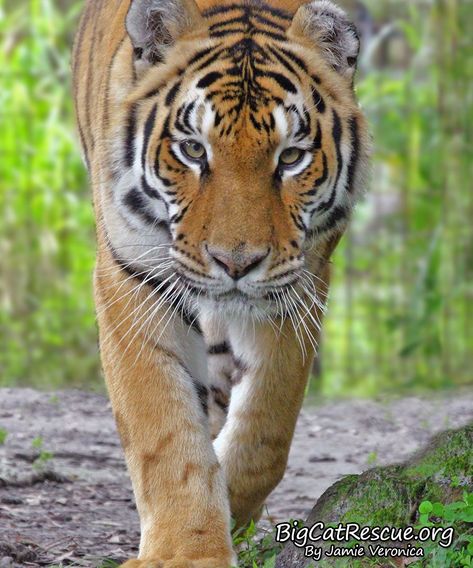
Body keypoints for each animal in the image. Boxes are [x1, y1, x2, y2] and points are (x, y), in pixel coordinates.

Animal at [73, 0, 368, 564]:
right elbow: (163, 429)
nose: (235, 263)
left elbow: (266, 430)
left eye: (291, 157)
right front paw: (186, 549)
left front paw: (228, 505)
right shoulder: (132, 276)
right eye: (192, 150)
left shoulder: (297, 284)